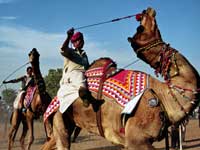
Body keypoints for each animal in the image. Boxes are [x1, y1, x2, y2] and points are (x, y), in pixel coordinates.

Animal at [41, 7, 199, 150]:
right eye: (140, 27)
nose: (148, 10)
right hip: (59, 115)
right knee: (62, 140)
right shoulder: (136, 139)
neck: (162, 95)